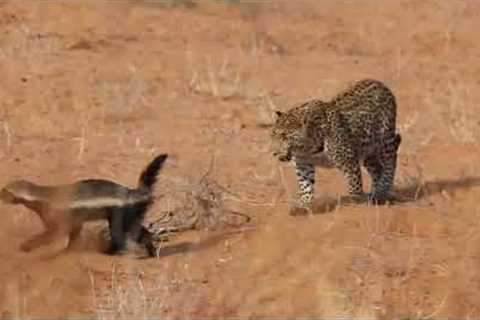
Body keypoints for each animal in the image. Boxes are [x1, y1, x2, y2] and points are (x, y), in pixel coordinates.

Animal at [270, 78, 402, 212]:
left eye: (285, 137)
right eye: (273, 135)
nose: (274, 153)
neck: (307, 148)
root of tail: (379, 83)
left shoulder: (349, 161)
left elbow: (354, 185)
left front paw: (357, 203)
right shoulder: (303, 164)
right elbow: (305, 186)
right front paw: (304, 205)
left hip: (385, 140)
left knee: (391, 162)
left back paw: (382, 190)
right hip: (368, 150)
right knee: (377, 169)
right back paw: (375, 194)